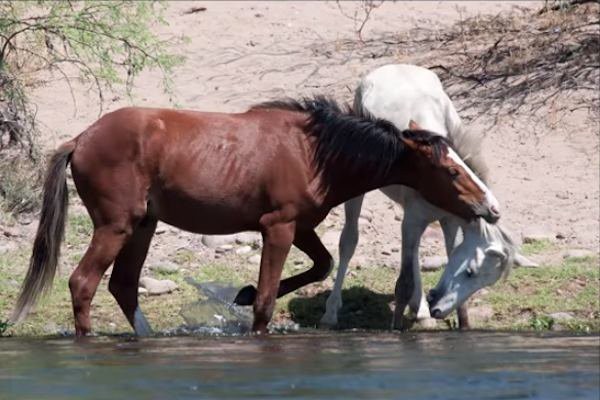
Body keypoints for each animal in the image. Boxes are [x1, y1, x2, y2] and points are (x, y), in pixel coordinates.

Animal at [11, 97, 500, 334]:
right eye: (451, 170)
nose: (490, 208)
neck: (314, 152)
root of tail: (79, 138)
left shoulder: (299, 226)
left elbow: (321, 265)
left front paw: (241, 294)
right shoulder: (278, 227)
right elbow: (267, 302)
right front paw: (251, 302)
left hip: (143, 226)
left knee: (123, 286)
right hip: (116, 226)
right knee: (83, 283)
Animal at [322, 64, 532, 330]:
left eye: (484, 282)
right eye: (471, 272)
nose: (438, 309)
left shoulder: (448, 221)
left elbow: (442, 258)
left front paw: (462, 325)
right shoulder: (413, 221)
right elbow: (403, 283)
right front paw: (397, 329)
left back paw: (419, 309)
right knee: (349, 241)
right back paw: (331, 311)